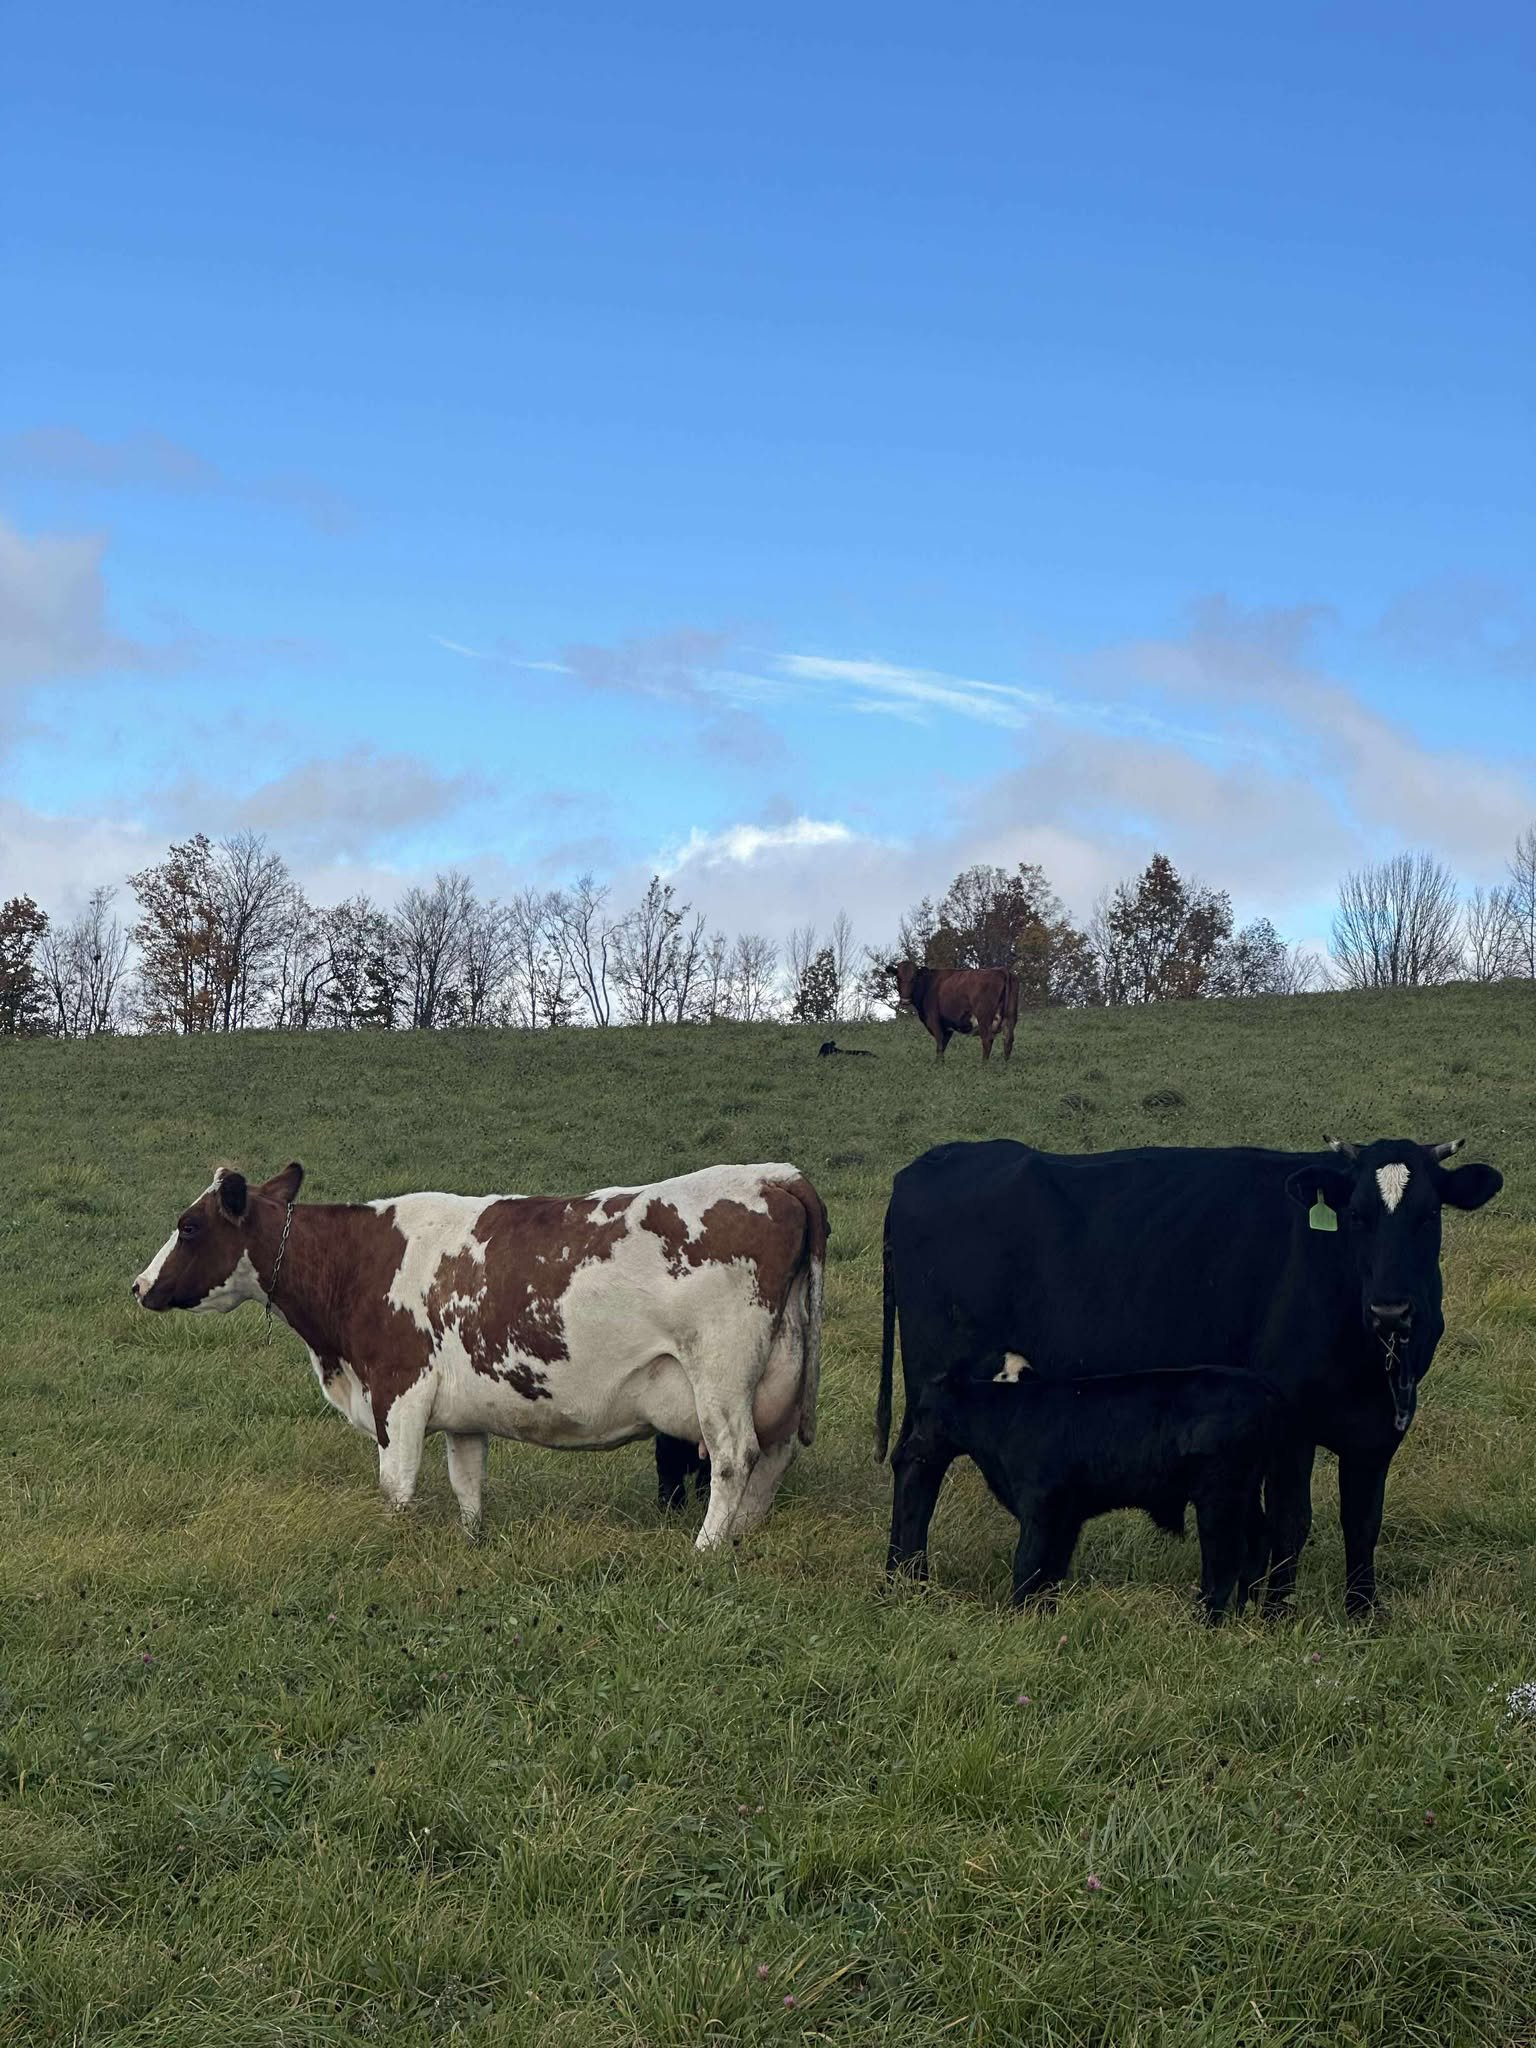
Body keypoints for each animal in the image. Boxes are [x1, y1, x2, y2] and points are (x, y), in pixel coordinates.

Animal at [133, 1160, 828, 1549]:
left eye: (189, 1226)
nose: (139, 1286)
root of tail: (775, 1174)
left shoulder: (398, 1393)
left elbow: (396, 1488)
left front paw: (397, 1546)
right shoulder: (461, 1413)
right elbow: (467, 1483)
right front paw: (471, 1542)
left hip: (720, 1372)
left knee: (735, 1456)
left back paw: (706, 1549)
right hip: (783, 1372)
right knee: (775, 1455)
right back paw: (739, 1538)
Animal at [925, 1361, 1277, 1620]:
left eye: (923, 1409)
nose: (915, 1443)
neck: (1005, 1418)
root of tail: (1263, 1390)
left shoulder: (1040, 1509)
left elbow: (1027, 1564)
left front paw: (1019, 1617)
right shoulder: (1067, 1518)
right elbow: (1052, 1569)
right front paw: (1044, 1615)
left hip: (1220, 1499)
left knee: (1226, 1556)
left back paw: (1206, 1620)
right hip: (1245, 1496)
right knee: (1258, 1542)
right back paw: (1246, 1611)